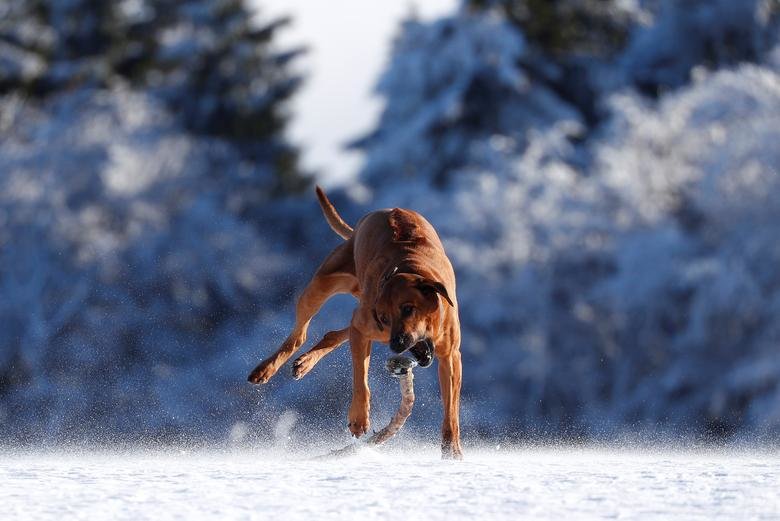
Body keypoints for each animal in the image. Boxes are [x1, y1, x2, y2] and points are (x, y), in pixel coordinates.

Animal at [248, 187, 464, 460]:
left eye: (408, 308)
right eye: (385, 317)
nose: (396, 345)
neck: (411, 265)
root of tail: (363, 222)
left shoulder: (451, 355)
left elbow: (451, 408)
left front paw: (452, 450)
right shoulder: (369, 328)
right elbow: (360, 378)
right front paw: (359, 419)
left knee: (334, 333)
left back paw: (305, 362)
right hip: (322, 286)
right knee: (301, 334)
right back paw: (266, 369)